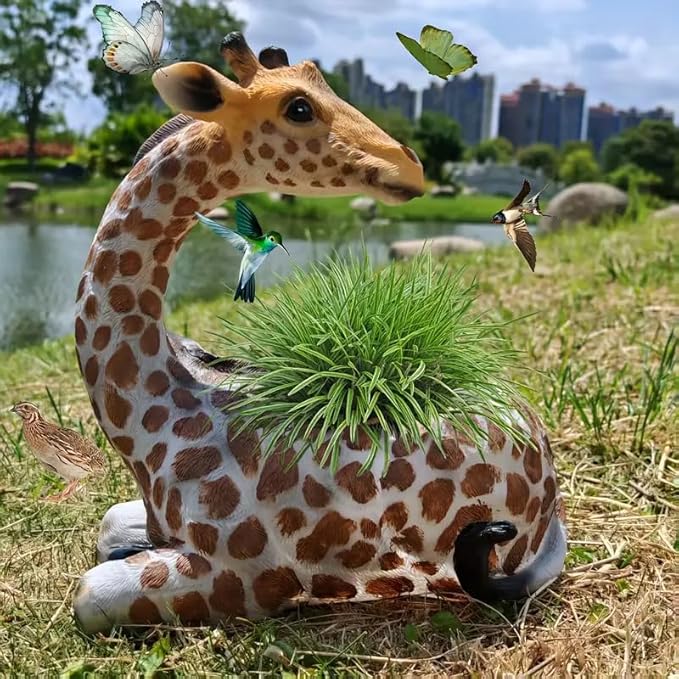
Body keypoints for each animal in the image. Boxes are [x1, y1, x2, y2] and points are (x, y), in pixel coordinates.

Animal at [72, 34, 567, 634]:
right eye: (299, 107)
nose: (411, 166)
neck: (155, 420)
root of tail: (552, 504)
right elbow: (107, 527)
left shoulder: (244, 576)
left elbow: (89, 592)